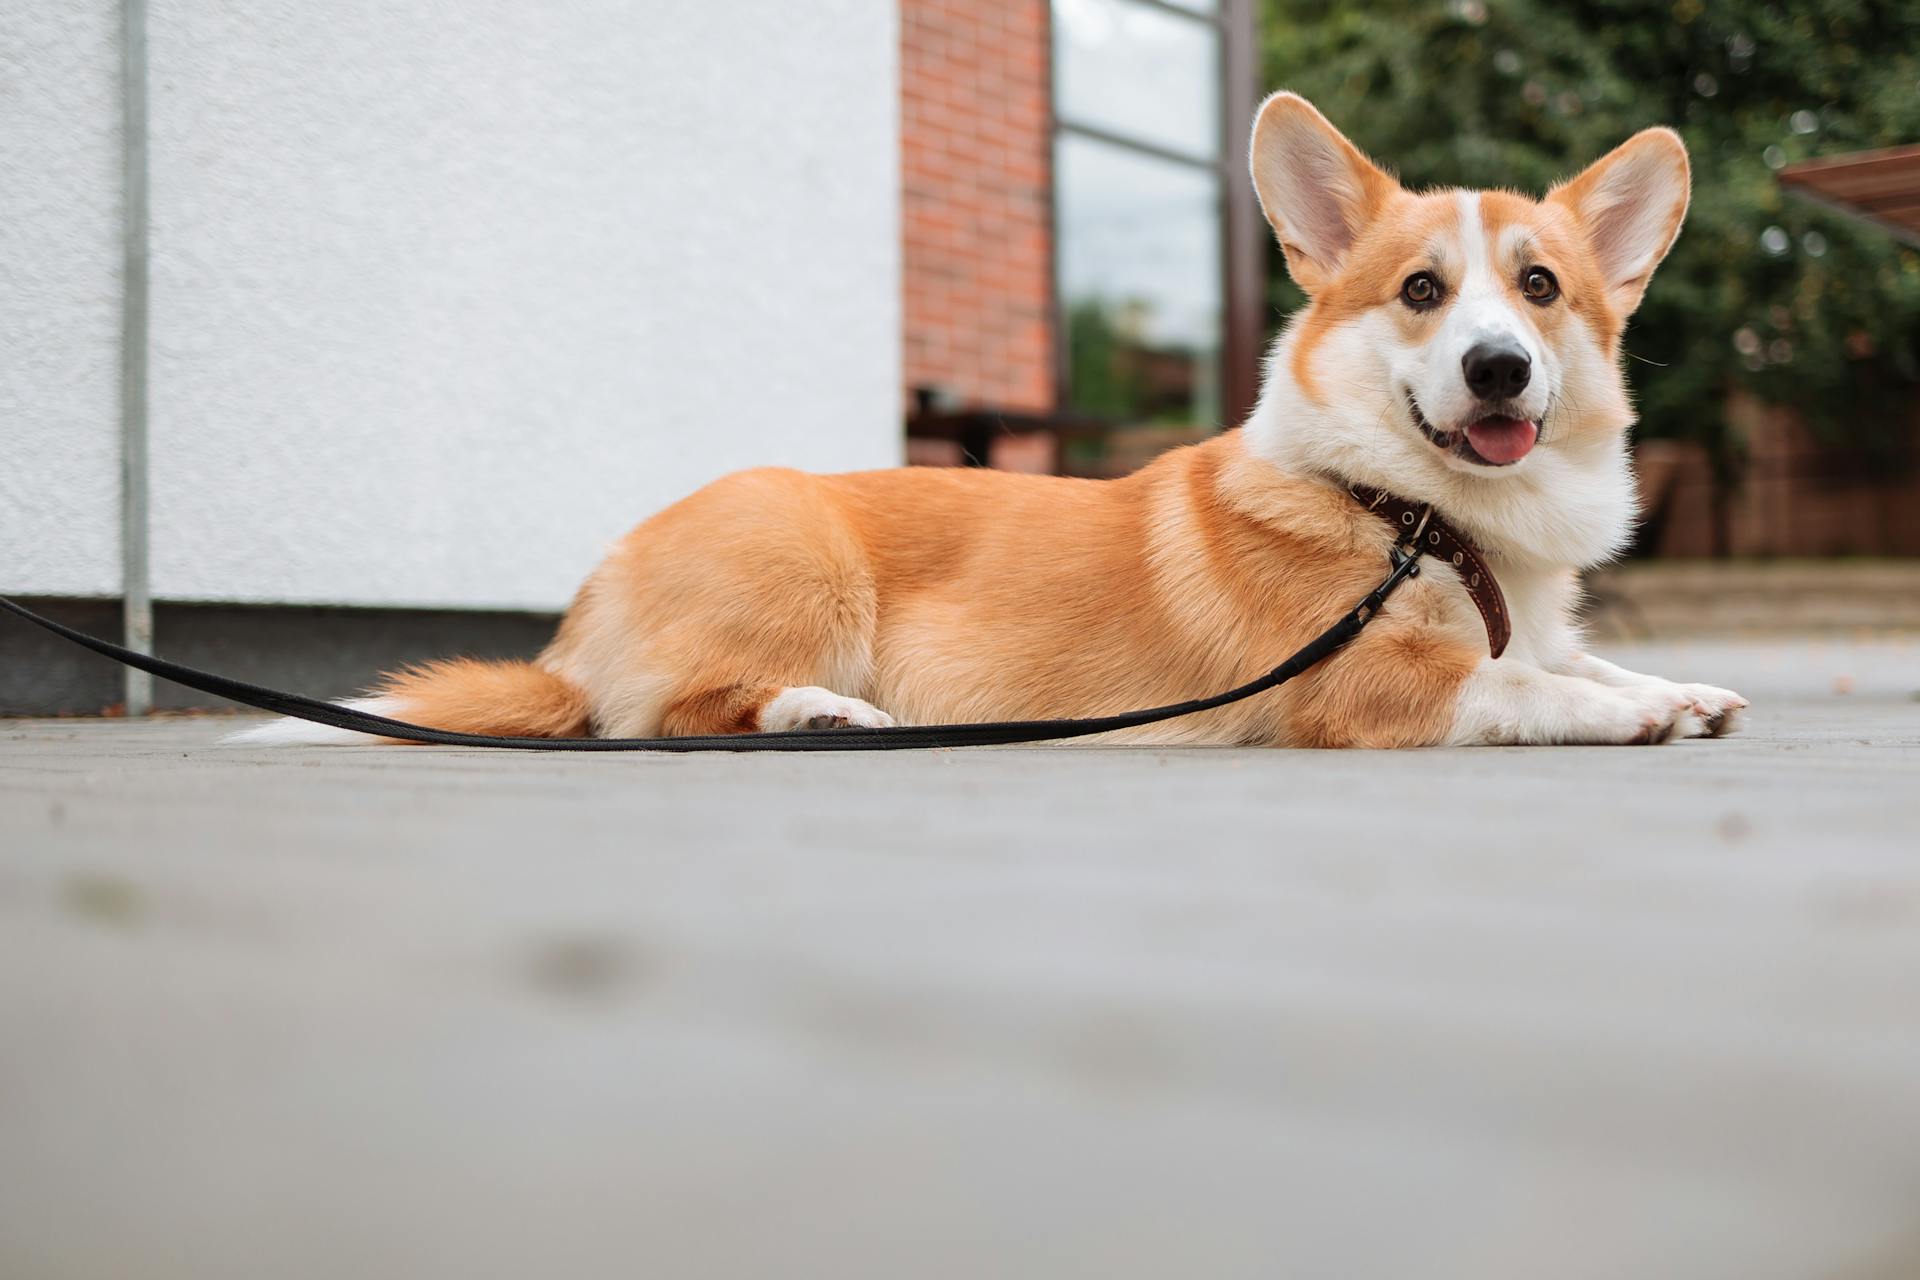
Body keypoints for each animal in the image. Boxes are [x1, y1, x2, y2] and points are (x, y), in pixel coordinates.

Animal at [240, 97, 1743, 752]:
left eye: (1540, 290)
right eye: (1423, 292)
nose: (1498, 370)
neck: (1415, 512)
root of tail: (585, 602)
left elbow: (1570, 658)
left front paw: (1678, 683)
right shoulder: (1363, 689)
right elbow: (1527, 687)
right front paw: (1638, 711)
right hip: (794, 558)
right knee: (663, 712)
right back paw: (823, 714)